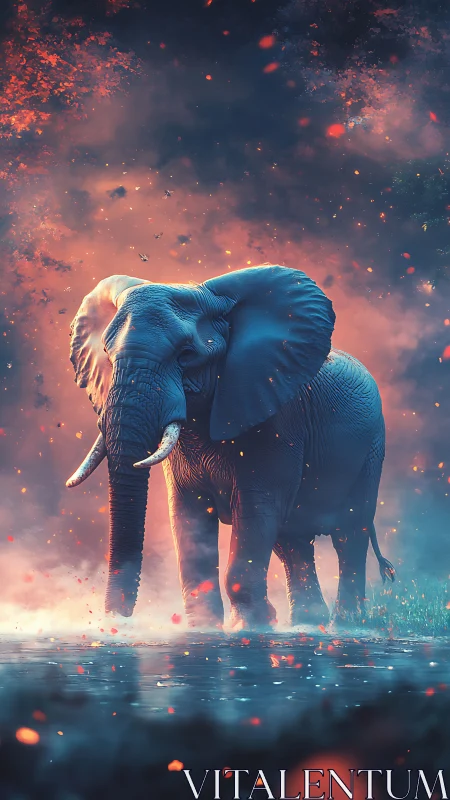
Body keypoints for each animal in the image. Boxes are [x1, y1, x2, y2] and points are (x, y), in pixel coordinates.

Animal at [66, 264, 395, 629]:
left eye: (186, 355)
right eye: (108, 357)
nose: (116, 621)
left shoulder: (276, 418)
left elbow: (256, 509)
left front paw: (246, 628)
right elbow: (188, 517)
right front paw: (203, 628)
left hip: (372, 449)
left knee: (349, 534)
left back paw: (344, 625)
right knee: (292, 541)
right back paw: (307, 623)